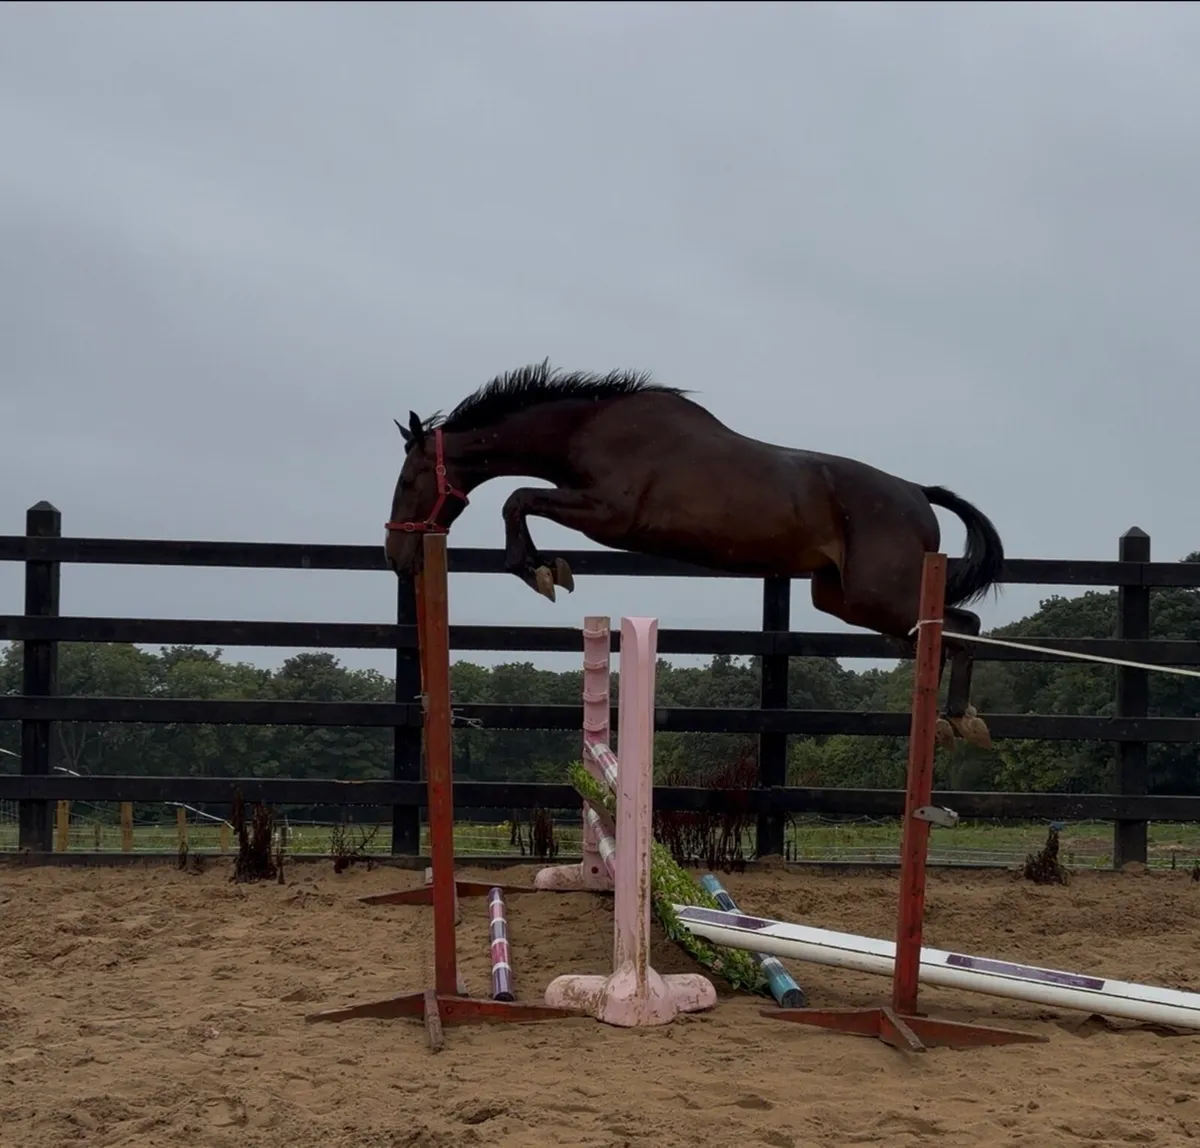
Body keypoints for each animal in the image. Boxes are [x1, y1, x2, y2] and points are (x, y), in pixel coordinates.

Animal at [383, 362, 1004, 748]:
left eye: (410, 479)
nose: (395, 554)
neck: (588, 428)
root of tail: (917, 493)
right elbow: (521, 501)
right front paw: (545, 567)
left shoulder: (608, 514)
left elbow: (517, 499)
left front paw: (541, 570)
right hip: (844, 599)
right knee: (940, 632)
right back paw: (945, 721)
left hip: (879, 595)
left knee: (961, 627)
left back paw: (958, 721)